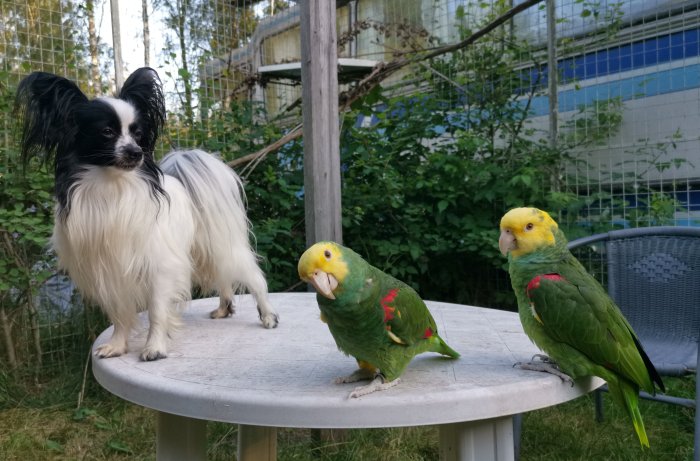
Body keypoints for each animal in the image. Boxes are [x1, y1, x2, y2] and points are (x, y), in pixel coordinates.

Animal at [15, 66, 278, 360]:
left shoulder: (159, 266)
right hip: (204, 251)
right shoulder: (108, 270)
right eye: (107, 132)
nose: (136, 152)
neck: (112, 187)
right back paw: (224, 308)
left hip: (222, 245)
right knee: (223, 278)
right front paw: (118, 345)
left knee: (254, 277)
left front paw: (155, 347)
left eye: (138, 134)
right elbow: (119, 314)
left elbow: (156, 311)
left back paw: (268, 316)